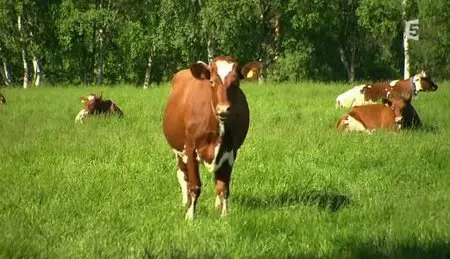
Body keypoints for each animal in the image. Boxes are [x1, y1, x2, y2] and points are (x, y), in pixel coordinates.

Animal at [162, 55, 250, 220]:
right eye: (212, 82)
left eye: (236, 83)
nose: (223, 109)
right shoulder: (190, 150)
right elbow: (194, 185)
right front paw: (190, 215)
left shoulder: (230, 152)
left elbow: (223, 187)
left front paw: (224, 215)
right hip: (178, 151)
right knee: (183, 175)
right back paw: (185, 202)